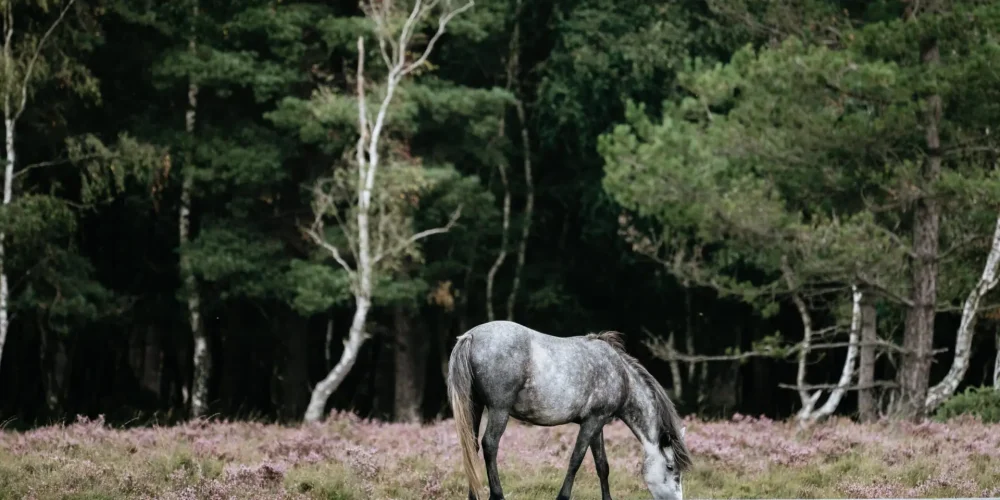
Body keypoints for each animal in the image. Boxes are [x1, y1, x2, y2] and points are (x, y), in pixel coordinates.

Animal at [446, 320, 688, 500]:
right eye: (671, 468)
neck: (621, 375)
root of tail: (471, 336)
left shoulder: (597, 423)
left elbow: (602, 465)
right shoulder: (592, 422)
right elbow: (576, 460)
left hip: (474, 407)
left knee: (472, 447)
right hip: (499, 410)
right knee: (489, 445)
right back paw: (497, 495)